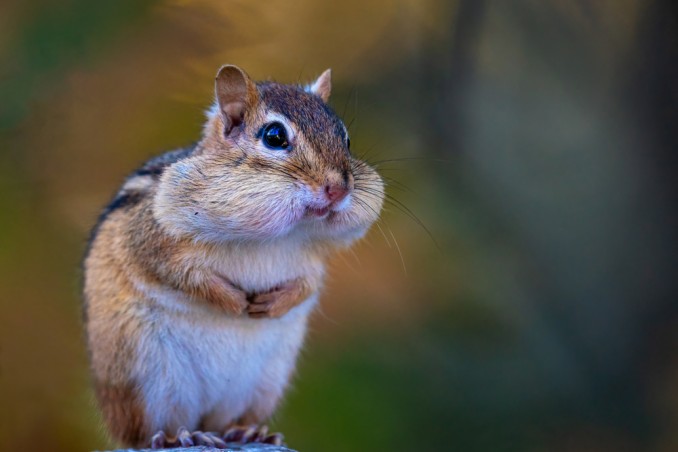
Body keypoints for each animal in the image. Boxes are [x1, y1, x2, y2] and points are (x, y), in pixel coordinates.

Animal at [82, 64, 384, 449]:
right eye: (274, 136)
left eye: (345, 139)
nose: (339, 189)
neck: (283, 234)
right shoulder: (153, 239)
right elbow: (183, 275)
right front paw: (235, 302)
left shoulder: (312, 260)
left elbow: (309, 284)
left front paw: (273, 304)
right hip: (144, 378)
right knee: (145, 433)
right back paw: (179, 436)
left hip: (266, 380)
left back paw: (246, 431)